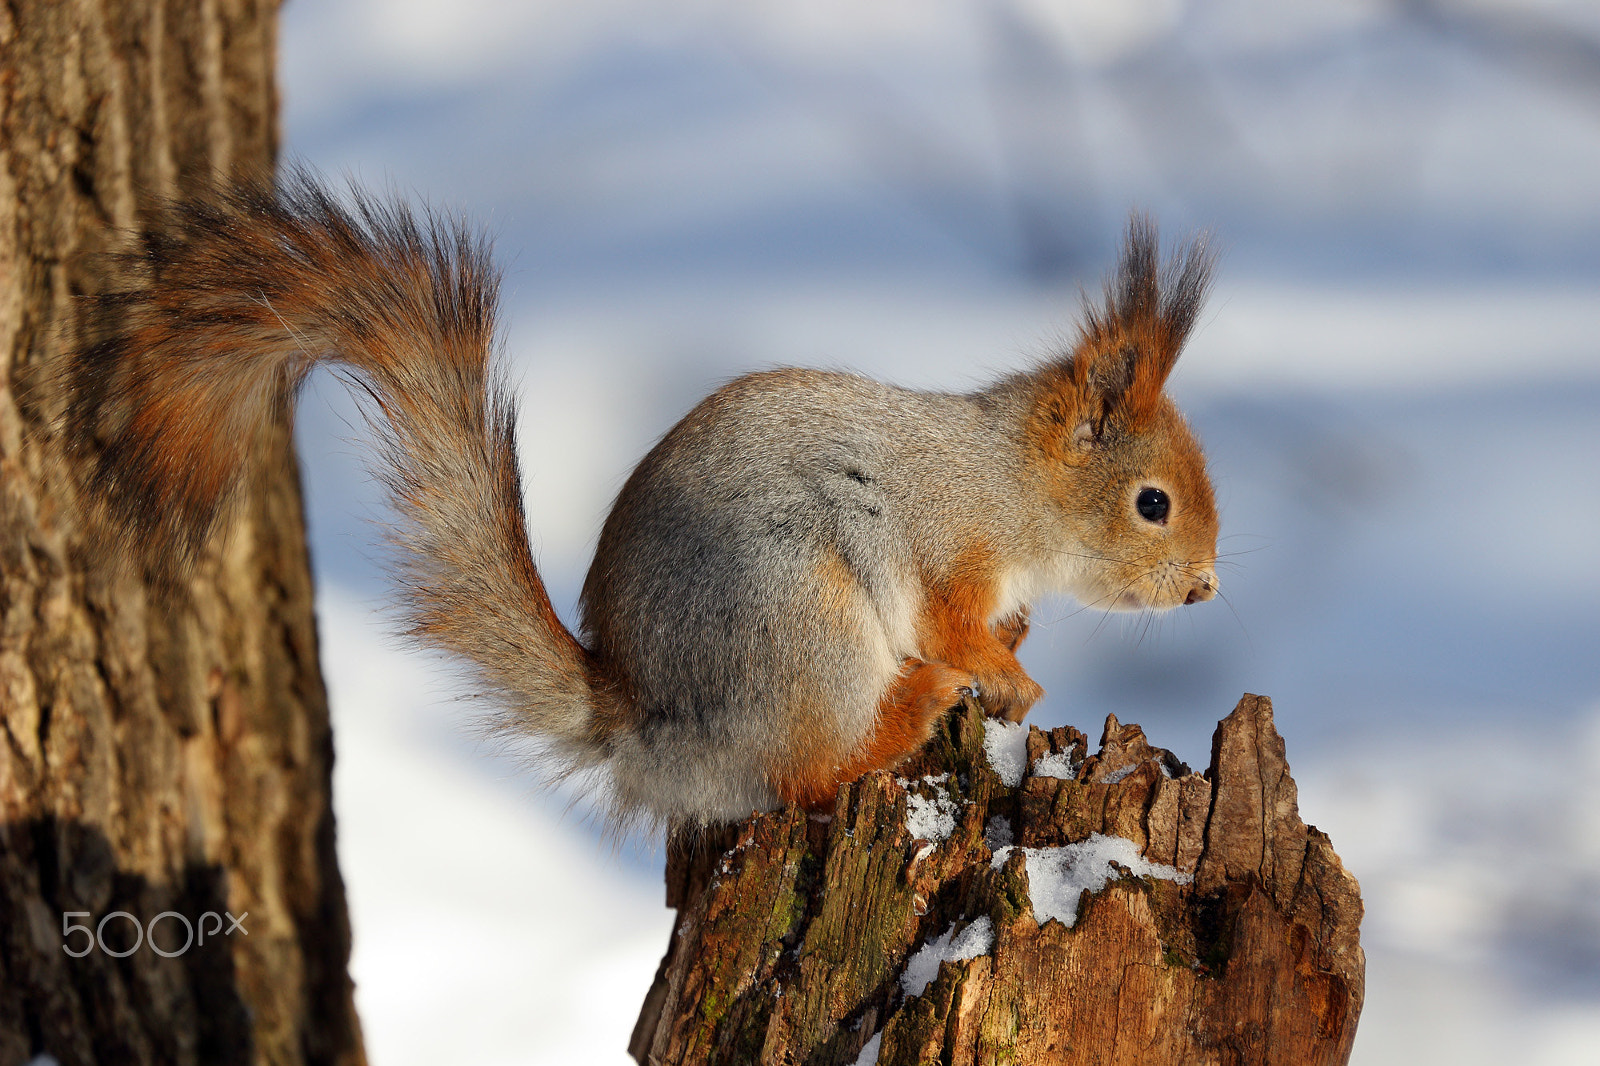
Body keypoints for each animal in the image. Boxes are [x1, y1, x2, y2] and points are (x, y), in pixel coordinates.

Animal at [67, 171, 1219, 830]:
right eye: (1151, 504)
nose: (1206, 589)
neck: (1012, 481)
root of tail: (651, 729)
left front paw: (1018, 652)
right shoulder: (949, 539)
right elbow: (951, 620)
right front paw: (1002, 672)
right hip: (808, 622)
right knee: (809, 772)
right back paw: (913, 708)